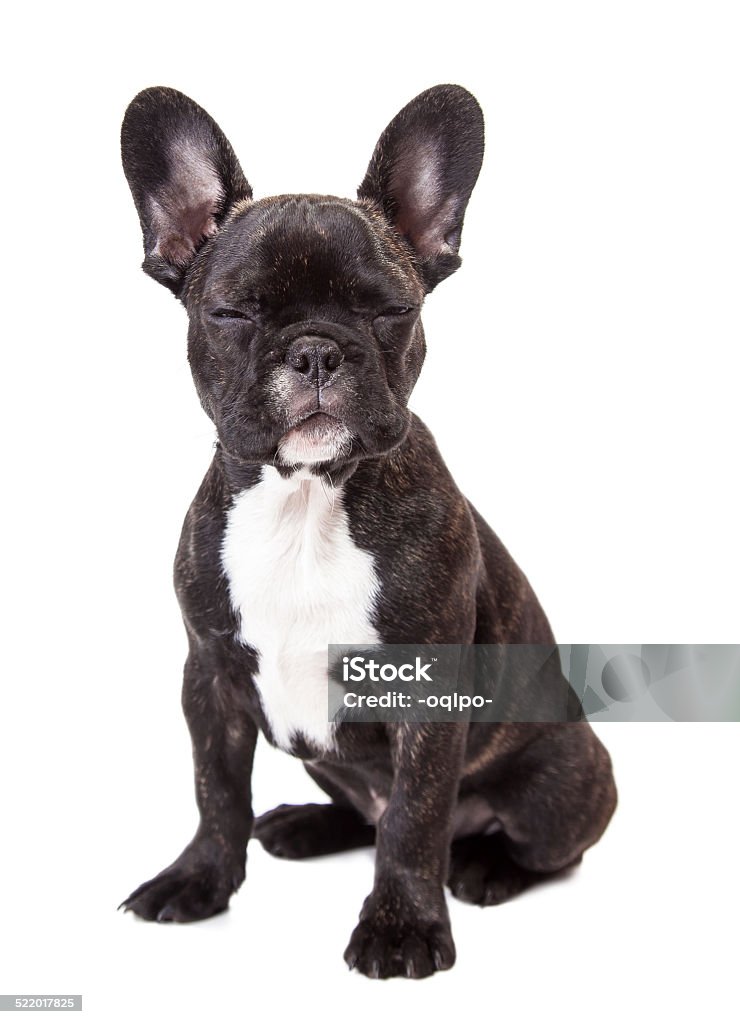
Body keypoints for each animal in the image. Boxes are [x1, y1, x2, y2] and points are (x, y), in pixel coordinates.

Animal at [118, 86, 618, 974]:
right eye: (232, 312)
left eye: (391, 310)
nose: (318, 350)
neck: (305, 502)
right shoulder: (210, 680)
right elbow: (216, 792)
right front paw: (200, 879)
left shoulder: (427, 692)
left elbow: (415, 821)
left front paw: (401, 927)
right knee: (362, 811)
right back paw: (304, 825)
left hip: (564, 780)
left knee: (524, 842)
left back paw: (485, 866)